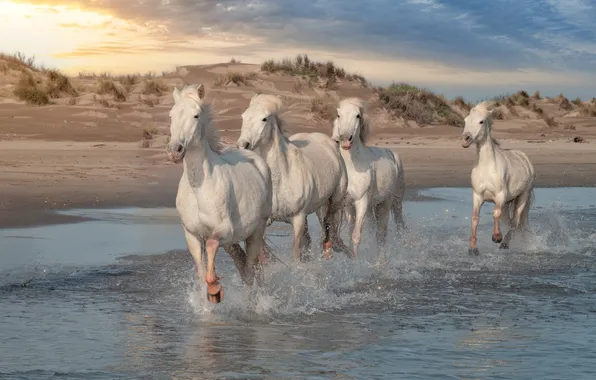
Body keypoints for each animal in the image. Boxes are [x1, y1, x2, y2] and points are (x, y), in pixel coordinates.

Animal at [165, 84, 272, 304]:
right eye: (171, 115)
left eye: (196, 115)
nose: (174, 151)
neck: (199, 189)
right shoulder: (192, 236)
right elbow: (200, 273)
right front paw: (207, 299)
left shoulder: (224, 231)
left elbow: (212, 245)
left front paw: (215, 289)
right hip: (234, 242)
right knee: (244, 267)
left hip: (255, 232)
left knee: (250, 270)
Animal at [236, 93, 350, 262]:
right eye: (243, 116)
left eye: (264, 119)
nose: (243, 145)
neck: (281, 179)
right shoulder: (263, 223)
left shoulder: (298, 219)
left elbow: (295, 255)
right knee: (310, 238)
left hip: (333, 200)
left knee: (328, 223)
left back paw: (327, 251)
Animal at [330, 98, 406, 258]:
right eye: (338, 115)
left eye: (358, 115)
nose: (345, 139)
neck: (352, 167)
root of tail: (394, 155)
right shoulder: (348, 205)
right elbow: (349, 234)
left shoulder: (362, 201)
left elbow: (356, 235)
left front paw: (356, 261)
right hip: (373, 207)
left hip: (389, 202)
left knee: (384, 232)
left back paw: (381, 261)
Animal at [460, 100, 536, 255]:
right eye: (465, 120)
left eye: (481, 121)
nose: (465, 139)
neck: (487, 167)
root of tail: (525, 158)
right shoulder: (478, 196)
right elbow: (475, 219)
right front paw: (473, 249)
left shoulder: (500, 196)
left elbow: (495, 214)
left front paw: (496, 237)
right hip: (508, 202)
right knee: (509, 220)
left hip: (522, 197)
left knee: (515, 222)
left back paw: (504, 243)